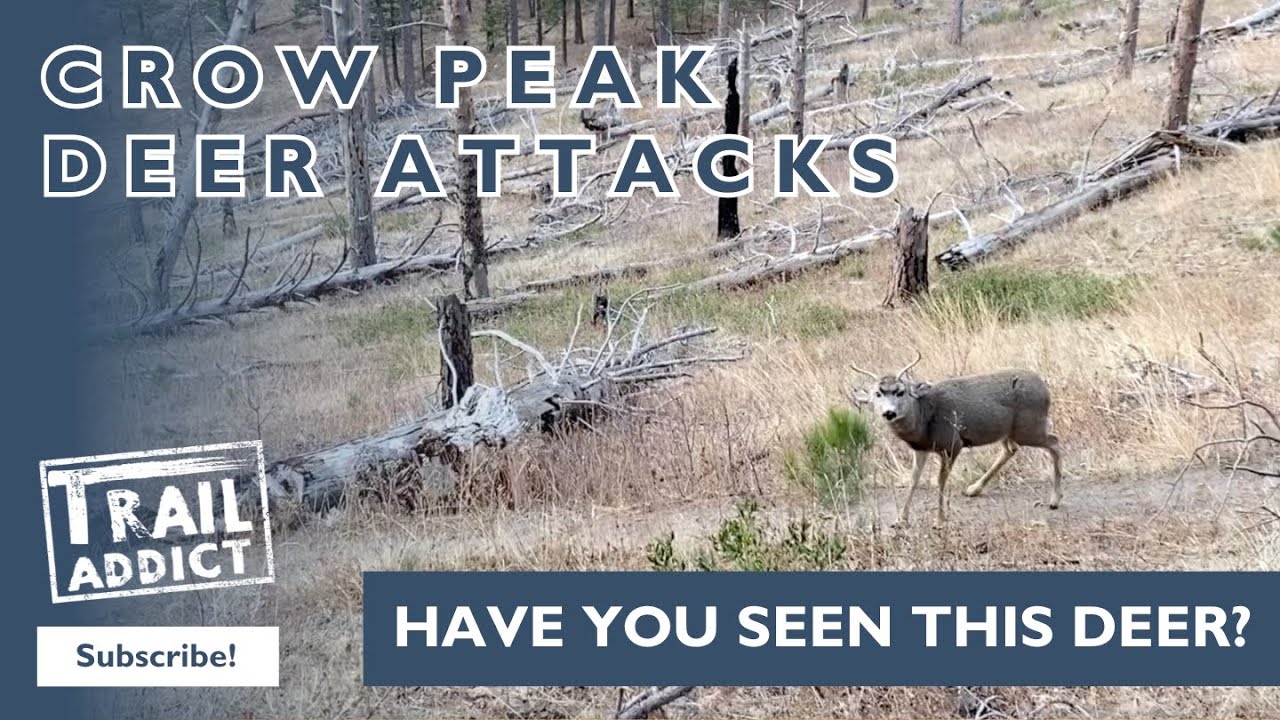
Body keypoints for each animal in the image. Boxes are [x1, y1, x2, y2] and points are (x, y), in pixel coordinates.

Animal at [851, 351, 1063, 528]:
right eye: (877, 393)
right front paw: (900, 520)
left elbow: (940, 481)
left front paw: (939, 521)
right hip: (1007, 431)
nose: (889, 413)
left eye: (900, 391)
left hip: (1030, 427)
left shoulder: (952, 444)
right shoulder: (921, 448)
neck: (924, 416)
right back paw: (973, 489)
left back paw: (1055, 499)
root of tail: (1044, 387)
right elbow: (913, 480)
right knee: (1012, 449)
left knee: (1054, 441)